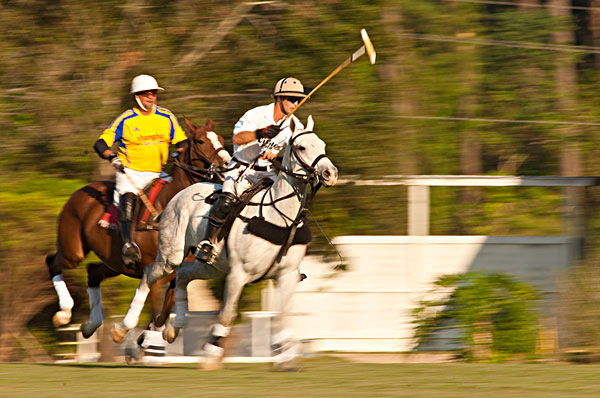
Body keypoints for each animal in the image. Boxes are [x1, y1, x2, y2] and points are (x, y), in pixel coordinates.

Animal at [45, 118, 230, 338]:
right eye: (200, 141)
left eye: (220, 139)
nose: (227, 164)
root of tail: (79, 192)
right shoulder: (154, 273)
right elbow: (156, 311)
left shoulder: (176, 276)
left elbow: (161, 318)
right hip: (74, 250)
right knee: (52, 262)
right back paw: (64, 313)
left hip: (115, 262)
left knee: (93, 272)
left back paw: (91, 324)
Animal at [112, 114, 338, 366]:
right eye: (301, 147)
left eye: (322, 145)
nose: (330, 174)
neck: (279, 216)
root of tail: (177, 195)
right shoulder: (239, 274)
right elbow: (228, 314)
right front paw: (210, 355)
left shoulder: (286, 275)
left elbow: (283, 315)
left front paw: (285, 359)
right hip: (172, 254)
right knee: (150, 274)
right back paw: (123, 329)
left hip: (211, 265)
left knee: (182, 275)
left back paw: (174, 328)